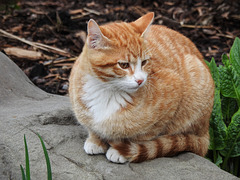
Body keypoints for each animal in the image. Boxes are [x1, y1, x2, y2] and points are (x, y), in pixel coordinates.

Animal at [68, 12, 215, 163]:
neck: (107, 91)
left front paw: (121, 151)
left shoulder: (173, 92)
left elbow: (141, 135)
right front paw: (95, 141)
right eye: (124, 65)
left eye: (144, 62)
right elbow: (92, 128)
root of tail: (206, 132)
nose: (140, 80)